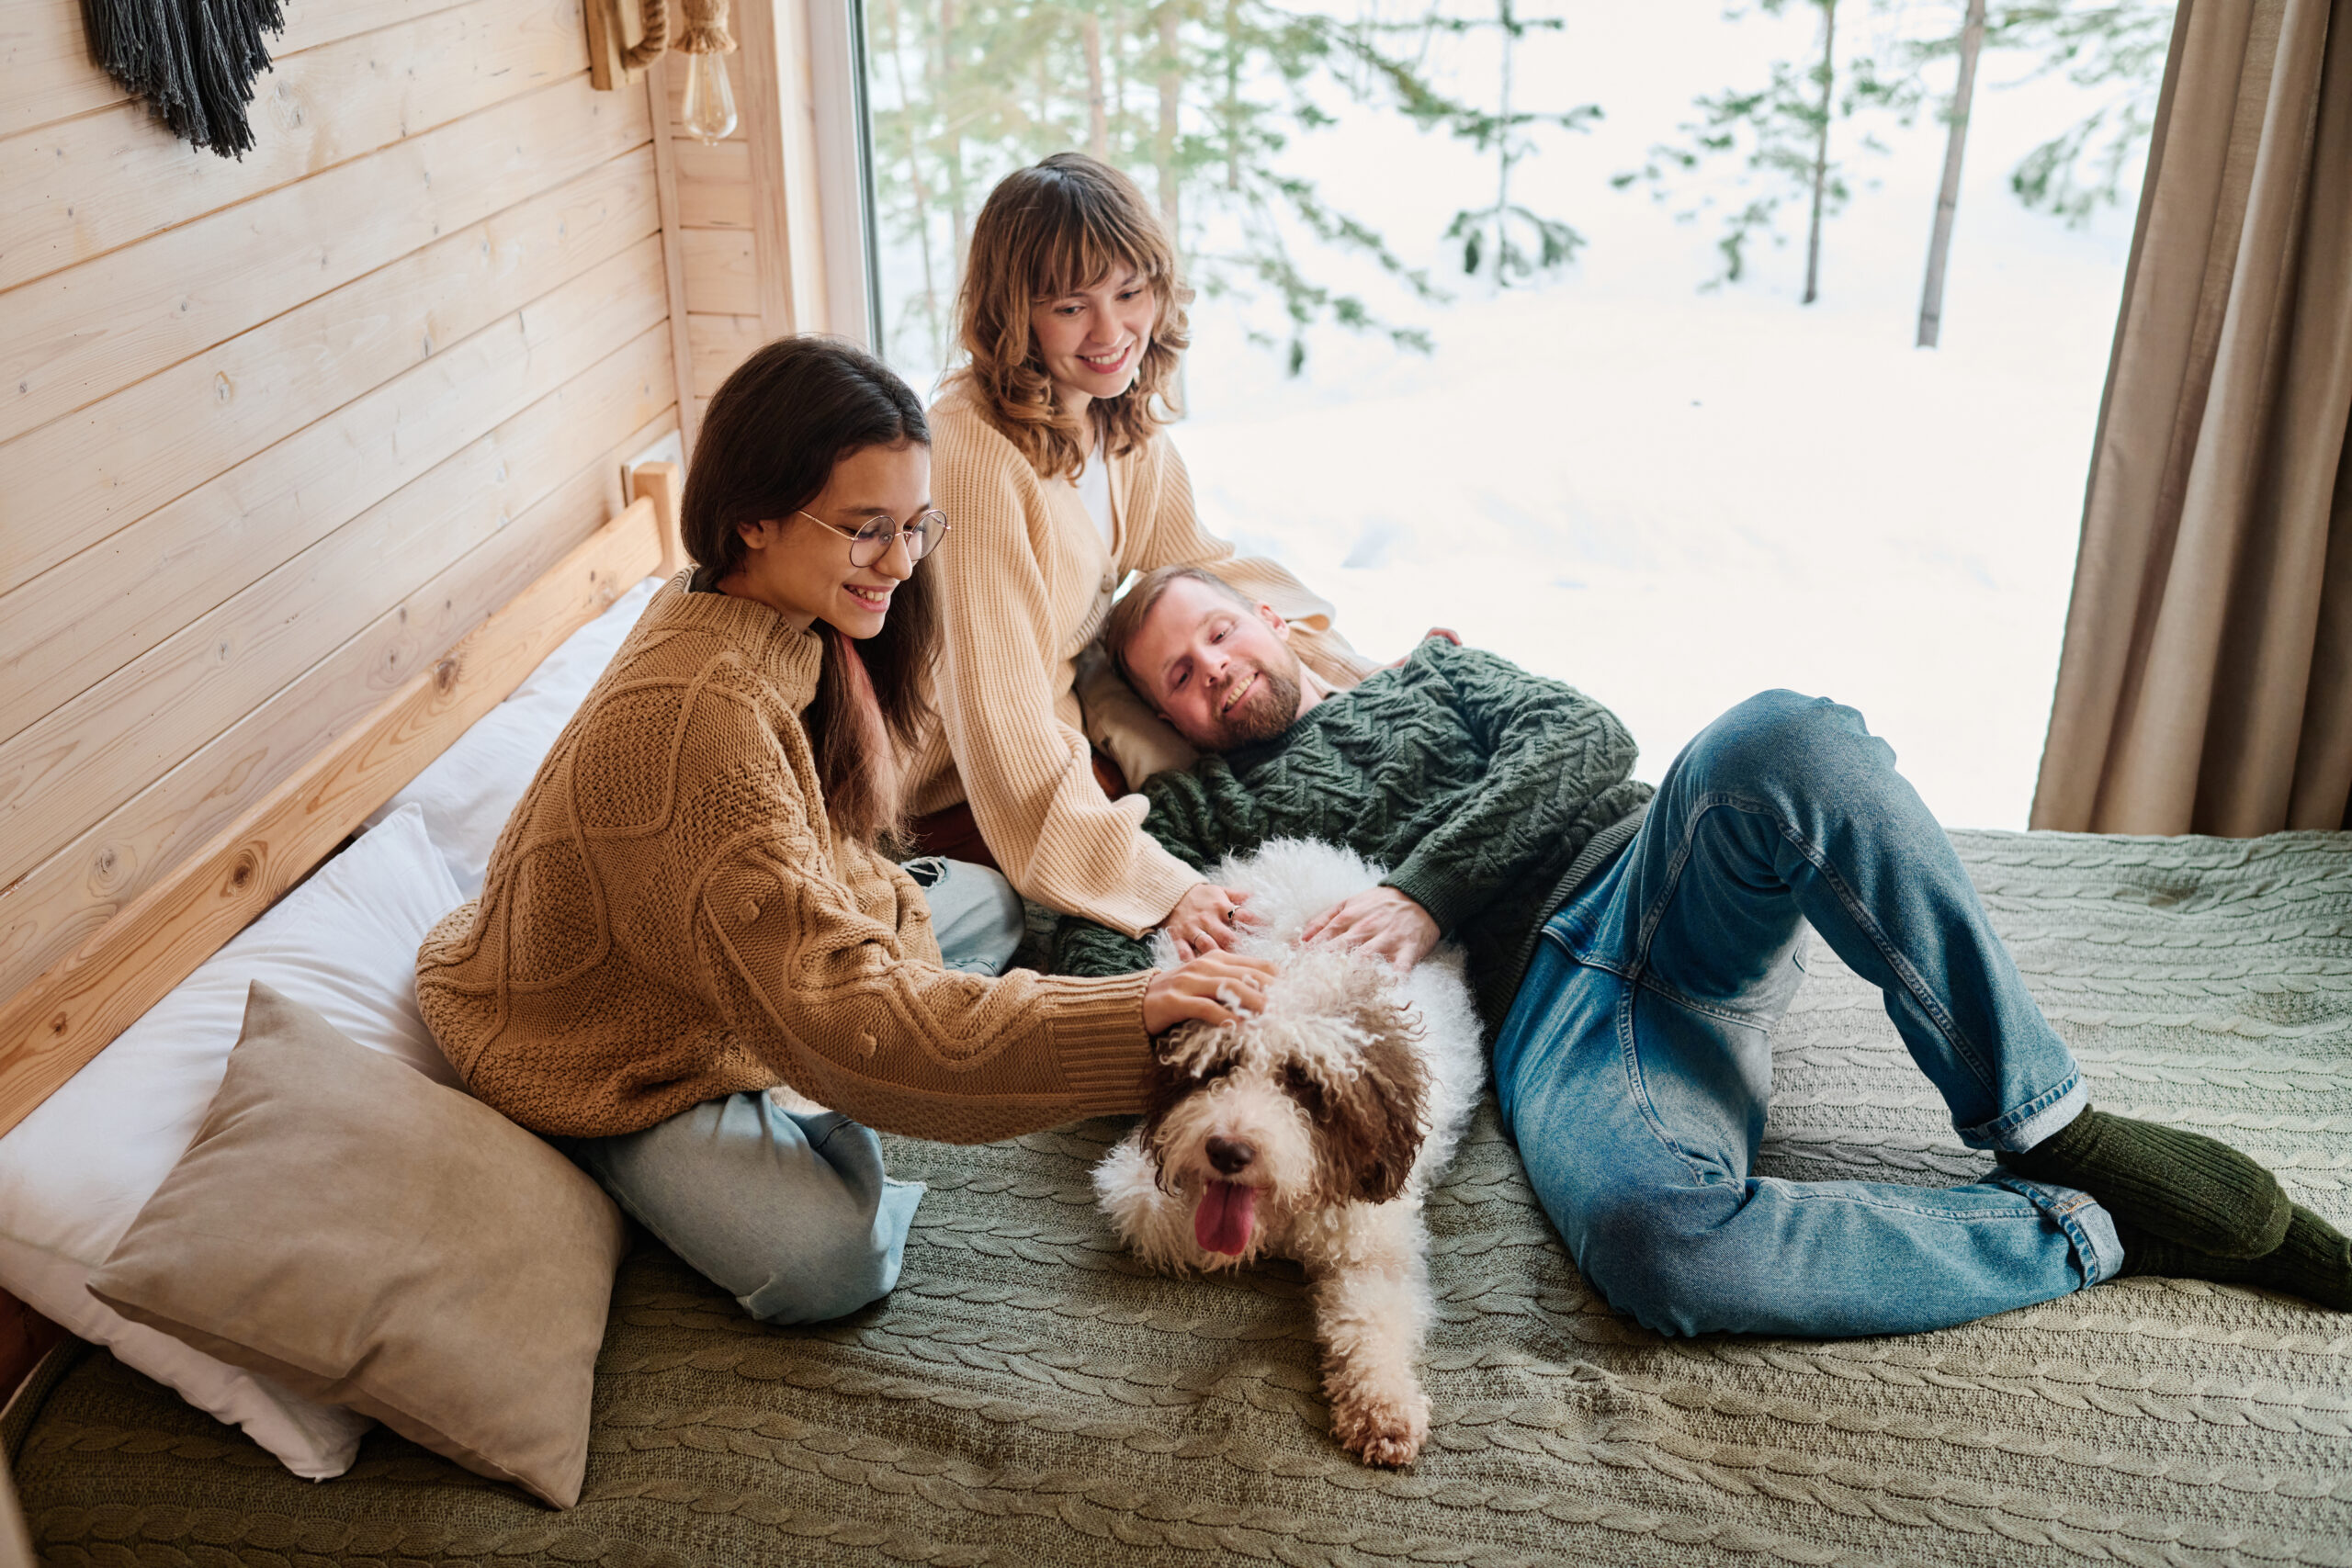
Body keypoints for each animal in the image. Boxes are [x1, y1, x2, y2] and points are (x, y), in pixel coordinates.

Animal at [1086, 841, 1486, 1466]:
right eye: (1219, 1065)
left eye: (1301, 1080)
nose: (1227, 1151)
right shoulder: (1140, 1189)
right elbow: (1167, 1221)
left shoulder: (1373, 1245)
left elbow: (1373, 1319)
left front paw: (1384, 1410)